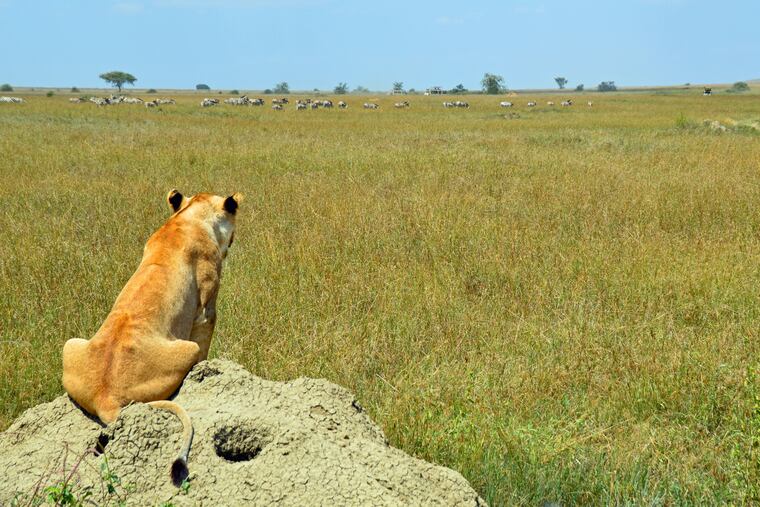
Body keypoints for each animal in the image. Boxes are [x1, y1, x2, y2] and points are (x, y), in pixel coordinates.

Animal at [62, 189, 241, 485]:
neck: (188, 217)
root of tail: (106, 400)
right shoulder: (206, 308)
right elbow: (206, 340)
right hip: (187, 348)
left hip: (70, 343)